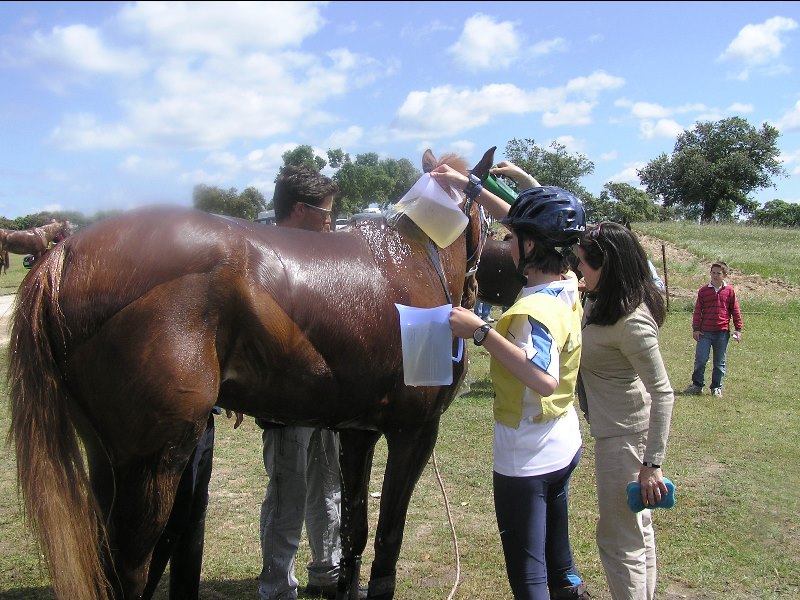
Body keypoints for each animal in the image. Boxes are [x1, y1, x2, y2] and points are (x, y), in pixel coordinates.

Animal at [7, 148, 494, 596]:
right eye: (488, 217)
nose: (476, 288)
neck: (412, 261)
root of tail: (64, 254)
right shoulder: (414, 431)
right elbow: (389, 536)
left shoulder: (359, 433)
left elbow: (353, 531)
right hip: (152, 461)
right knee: (129, 568)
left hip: (107, 458)